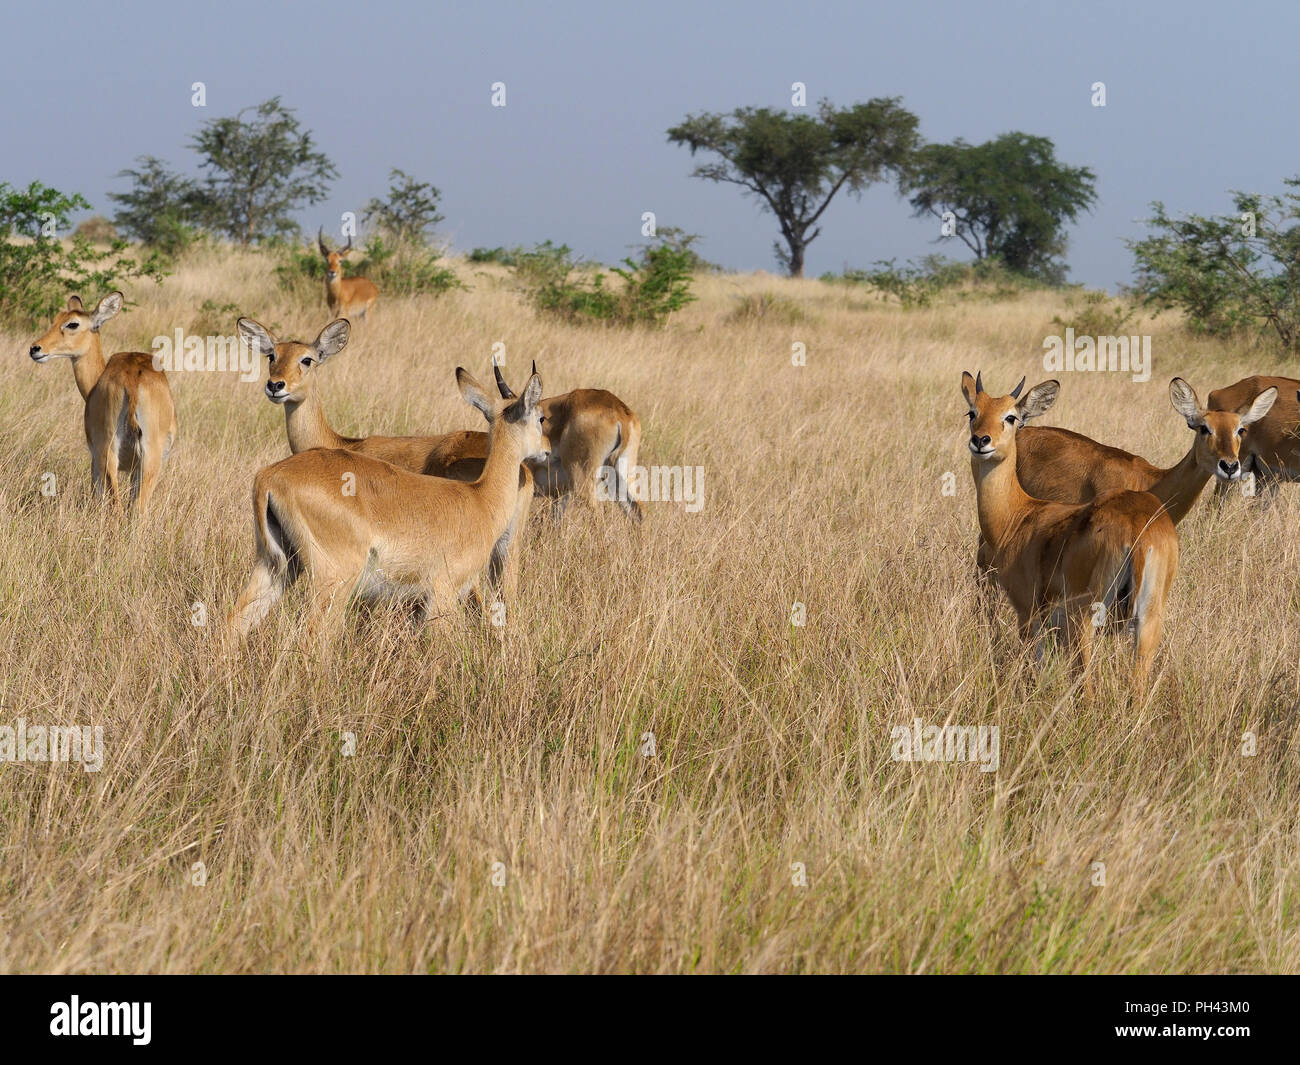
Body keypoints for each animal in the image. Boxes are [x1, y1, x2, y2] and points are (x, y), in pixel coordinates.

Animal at [26, 289, 176, 509]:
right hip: (147, 460)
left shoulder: (94, 459)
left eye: (72, 323)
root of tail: (132, 379)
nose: (35, 349)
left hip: (107, 454)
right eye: (55, 319)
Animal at [228, 361, 548, 644]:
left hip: (275, 566)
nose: (546, 449)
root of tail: (270, 476)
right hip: (333, 581)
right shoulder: (441, 596)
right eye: (540, 417)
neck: (481, 498)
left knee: (235, 622)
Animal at [961, 374, 1185, 691]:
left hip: (1084, 621)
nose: (981, 441)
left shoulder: (1027, 614)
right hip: (1148, 622)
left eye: (1011, 416)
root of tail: (1138, 531)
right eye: (973, 412)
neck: (1018, 515)